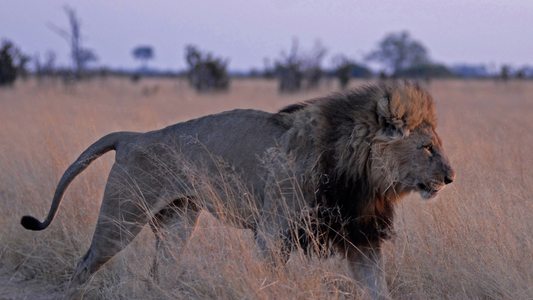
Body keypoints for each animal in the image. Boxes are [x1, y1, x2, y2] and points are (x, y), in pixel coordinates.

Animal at [20, 82, 454, 300]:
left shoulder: (360, 236)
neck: (360, 176)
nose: (451, 178)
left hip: (178, 220)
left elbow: (377, 286)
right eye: (427, 148)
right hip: (122, 218)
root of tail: (132, 136)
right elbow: (269, 279)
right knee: (83, 265)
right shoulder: (274, 231)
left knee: (158, 275)